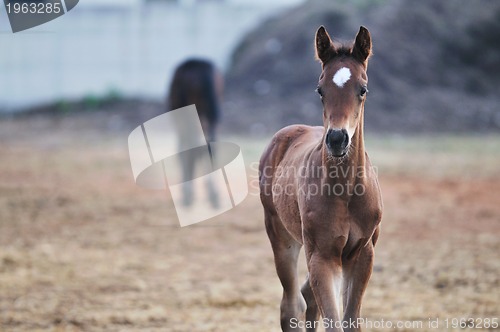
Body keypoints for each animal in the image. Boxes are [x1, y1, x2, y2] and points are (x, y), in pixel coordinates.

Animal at [260, 26, 380, 332]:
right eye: (320, 89)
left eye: (363, 89)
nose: (337, 139)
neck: (346, 190)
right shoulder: (322, 256)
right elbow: (334, 321)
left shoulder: (362, 254)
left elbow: (351, 321)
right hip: (282, 236)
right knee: (292, 305)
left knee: (306, 297)